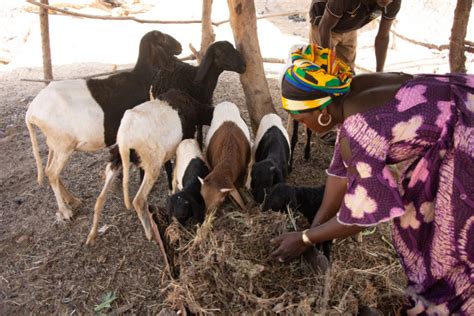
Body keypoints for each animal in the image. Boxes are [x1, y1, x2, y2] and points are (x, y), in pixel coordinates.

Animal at [25, 30, 182, 221]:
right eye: (163, 38)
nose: (180, 47)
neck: (140, 78)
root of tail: (31, 112)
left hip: (55, 142)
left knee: (49, 170)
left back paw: (73, 200)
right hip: (63, 144)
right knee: (52, 173)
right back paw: (65, 211)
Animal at [86, 89, 214, 244]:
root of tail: (125, 140)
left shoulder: (167, 152)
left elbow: (169, 168)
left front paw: (170, 190)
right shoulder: (184, 138)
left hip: (116, 158)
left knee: (100, 198)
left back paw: (91, 236)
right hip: (152, 165)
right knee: (139, 200)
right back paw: (150, 234)